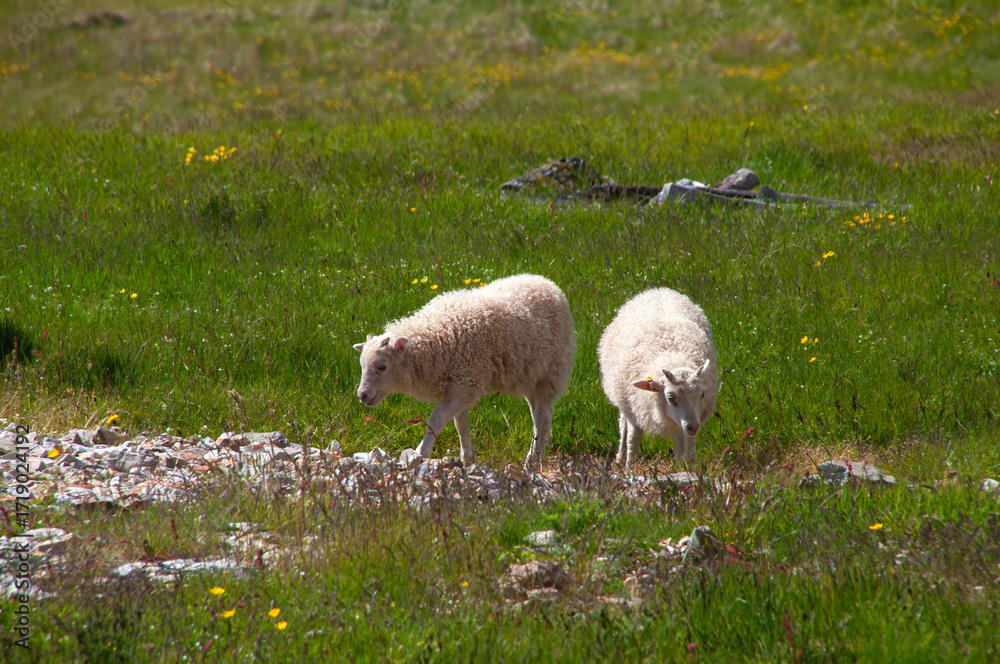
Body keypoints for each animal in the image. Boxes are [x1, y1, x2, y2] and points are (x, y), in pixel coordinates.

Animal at [353, 274, 575, 468]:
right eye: (362, 366)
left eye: (381, 366)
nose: (362, 395)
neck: (436, 338)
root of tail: (545, 281)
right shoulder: (461, 385)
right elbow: (460, 425)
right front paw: (467, 457)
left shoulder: (465, 382)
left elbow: (436, 419)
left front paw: (421, 452)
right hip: (530, 375)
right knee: (538, 415)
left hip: (551, 372)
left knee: (542, 417)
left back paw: (533, 459)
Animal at [597, 287, 718, 470]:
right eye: (670, 397)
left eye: (702, 395)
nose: (693, 426)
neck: (674, 359)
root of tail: (658, 290)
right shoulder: (635, 408)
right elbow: (634, 438)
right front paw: (629, 469)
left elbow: (687, 443)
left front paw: (687, 467)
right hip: (624, 398)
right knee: (623, 422)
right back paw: (620, 456)